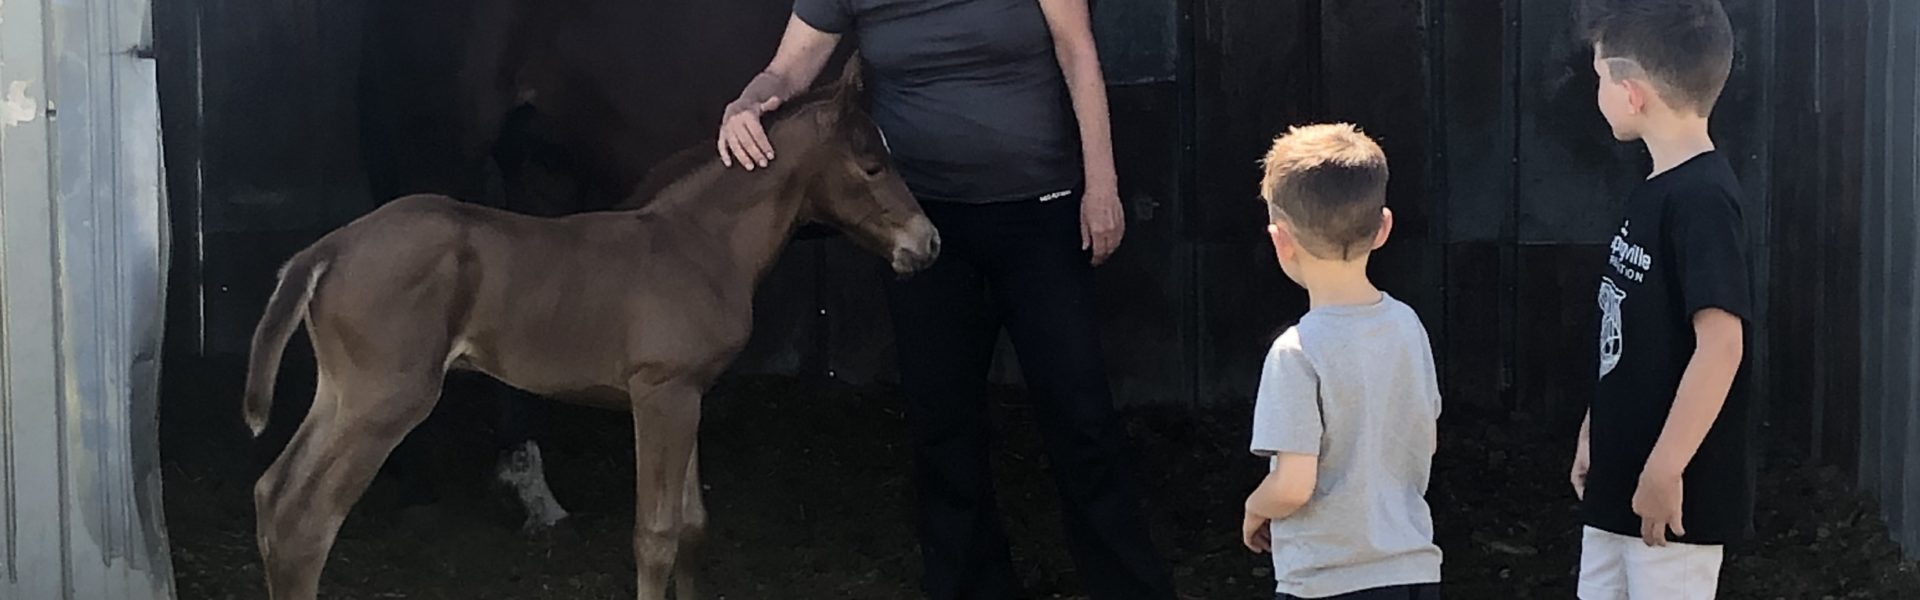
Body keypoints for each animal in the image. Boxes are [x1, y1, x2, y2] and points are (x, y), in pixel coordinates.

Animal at [242, 62, 938, 600]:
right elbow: (655, 536)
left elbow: (693, 527)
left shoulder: (688, 396)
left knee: (274, 494)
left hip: (341, 393)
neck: (700, 243)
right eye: (872, 166)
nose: (927, 243)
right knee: (306, 518)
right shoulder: (659, 393)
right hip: (386, 400)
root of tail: (329, 247)